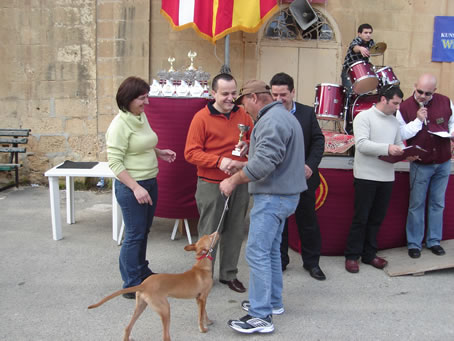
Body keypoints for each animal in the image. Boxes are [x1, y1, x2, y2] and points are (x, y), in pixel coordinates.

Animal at [88, 230, 220, 338]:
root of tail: (144, 284)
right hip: (165, 309)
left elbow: (204, 313)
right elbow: (200, 316)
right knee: (165, 336)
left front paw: (208, 321)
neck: (201, 267)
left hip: (141, 306)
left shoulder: (199, 299)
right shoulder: (202, 297)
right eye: (210, 237)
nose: (217, 232)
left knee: (127, 328)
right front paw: (202, 329)